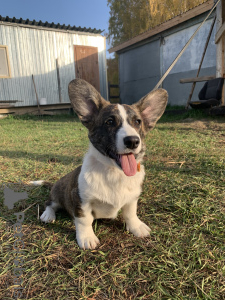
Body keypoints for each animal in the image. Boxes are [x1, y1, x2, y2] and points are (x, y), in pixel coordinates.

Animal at [39, 78, 168, 250]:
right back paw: (48, 214)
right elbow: (84, 220)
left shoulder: (132, 199)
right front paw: (87, 237)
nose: (133, 141)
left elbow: (130, 213)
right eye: (110, 122)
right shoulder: (81, 200)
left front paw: (136, 227)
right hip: (58, 193)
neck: (114, 171)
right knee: (50, 203)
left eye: (137, 122)